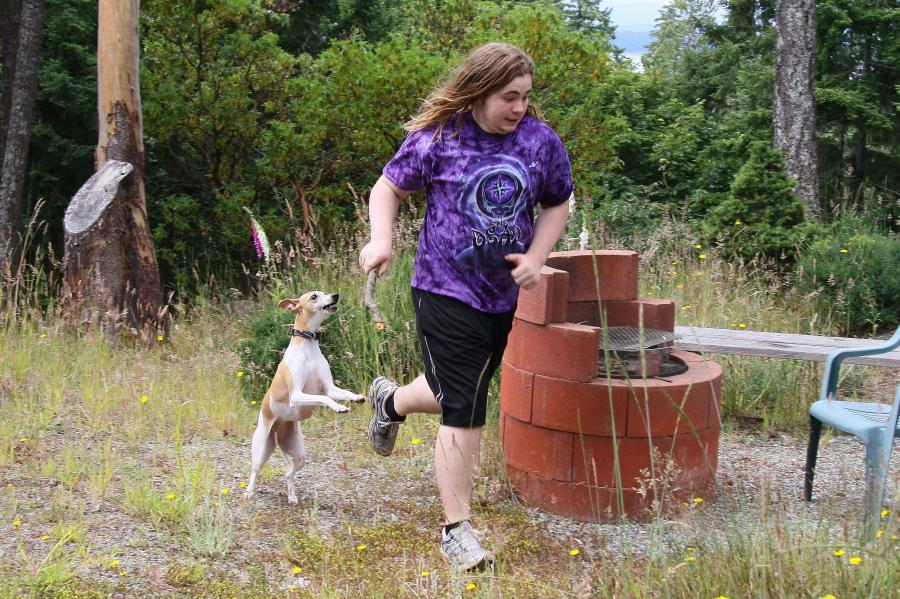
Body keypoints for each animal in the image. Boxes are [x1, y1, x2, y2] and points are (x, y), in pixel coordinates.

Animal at [243, 291, 363, 503]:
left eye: (324, 293)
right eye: (314, 296)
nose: (335, 295)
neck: (308, 346)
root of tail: (277, 431)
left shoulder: (330, 388)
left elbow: (342, 393)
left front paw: (356, 397)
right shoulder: (297, 395)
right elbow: (324, 399)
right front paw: (339, 407)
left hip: (299, 454)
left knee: (288, 473)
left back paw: (292, 496)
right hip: (261, 449)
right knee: (255, 470)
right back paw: (249, 492)